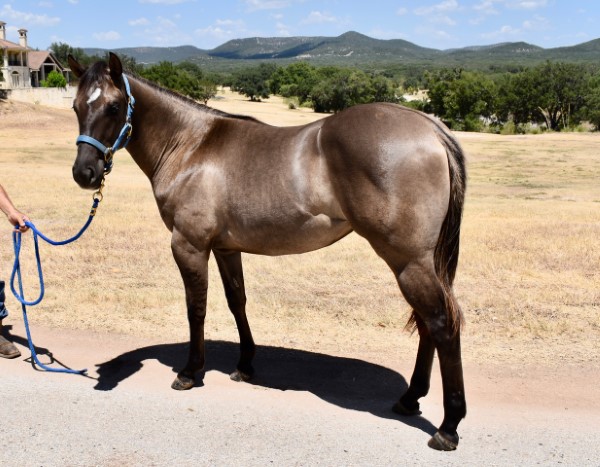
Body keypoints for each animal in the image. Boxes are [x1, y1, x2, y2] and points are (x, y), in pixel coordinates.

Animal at [67, 53, 468, 452]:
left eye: (114, 106)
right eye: (76, 106)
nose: (84, 173)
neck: (191, 146)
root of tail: (431, 128)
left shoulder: (189, 245)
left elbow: (196, 308)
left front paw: (190, 371)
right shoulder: (226, 248)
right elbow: (237, 302)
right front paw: (245, 365)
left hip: (408, 261)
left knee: (441, 323)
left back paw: (448, 426)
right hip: (419, 263)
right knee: (428, 323)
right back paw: (410, 398)